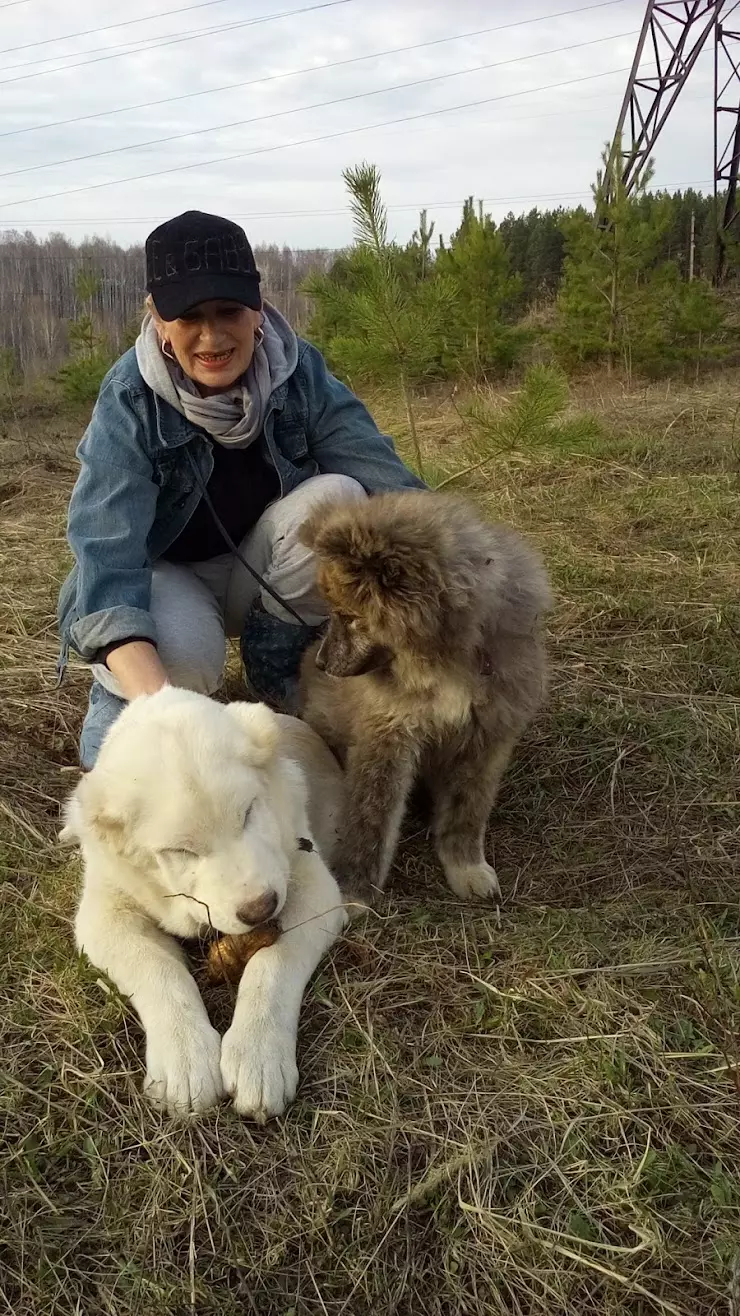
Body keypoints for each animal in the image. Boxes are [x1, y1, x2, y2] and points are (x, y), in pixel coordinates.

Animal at [60, 684, 344, 1126]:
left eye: (248, 813)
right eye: (180, 851)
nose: (261, 908)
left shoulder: (314, 886)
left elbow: (274, 962)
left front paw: (258, 1056)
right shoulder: (104, 915)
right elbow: (157, 969)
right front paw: (185, 1059)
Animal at [296, 489, 550, 910]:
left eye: (349, 617)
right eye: (333, 613)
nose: (320, 662)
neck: (446, 665)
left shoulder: (487, 739)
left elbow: (467, 811)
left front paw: (465, 867)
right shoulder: (388, 733)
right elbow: (370, 817)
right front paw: (353, 890)